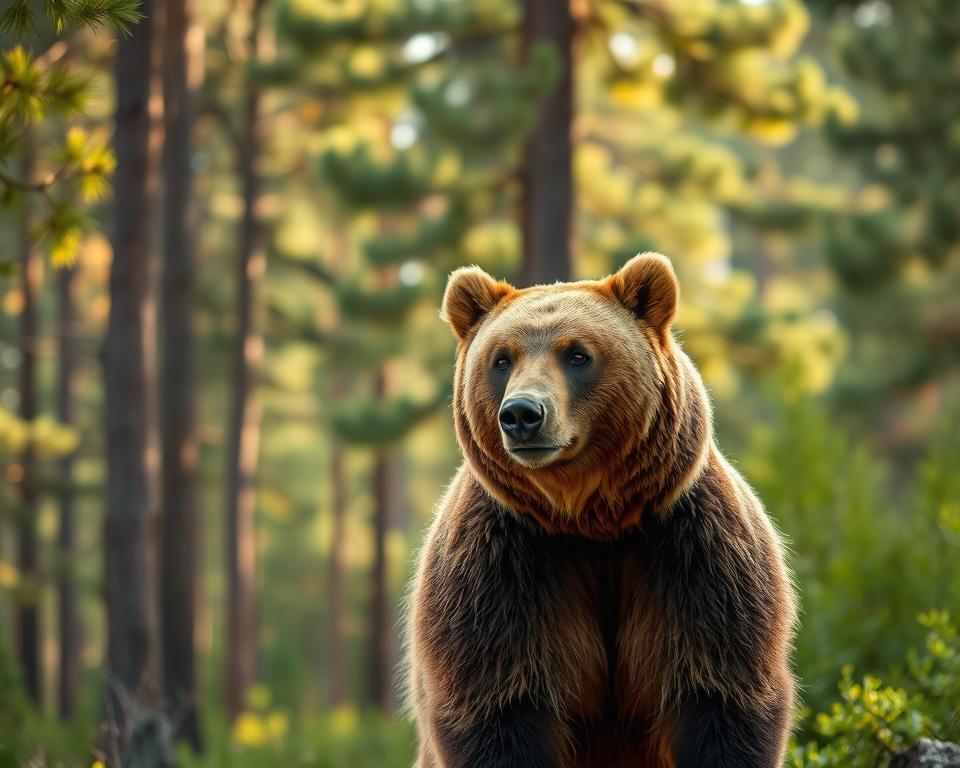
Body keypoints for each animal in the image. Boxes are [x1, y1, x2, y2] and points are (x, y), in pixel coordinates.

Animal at [406, 253, 796, 768]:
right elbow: (501, 708)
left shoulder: (694, 556)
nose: (522, 414)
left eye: (577, 355)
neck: (589, 519)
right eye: (501, 359)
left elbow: (717, 699)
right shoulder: (500, 569)